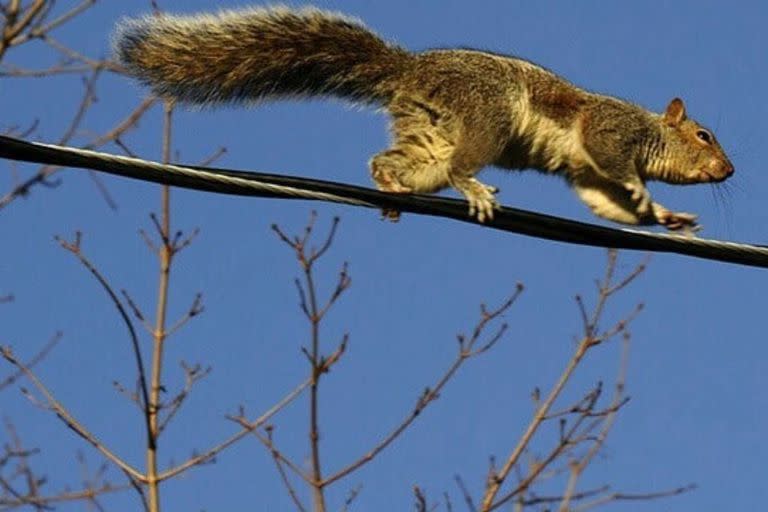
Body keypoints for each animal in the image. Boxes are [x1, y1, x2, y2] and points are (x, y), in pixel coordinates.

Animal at [112, 6, 732, 229]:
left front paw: (667, 216)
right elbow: (616, 170)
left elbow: (607, 202)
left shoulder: (586, 174)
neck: (650, 130)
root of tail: (409, 70)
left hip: (431, 134)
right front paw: (650, 196)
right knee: (460, 165)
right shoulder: (609, 130)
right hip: (484, 118)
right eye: (704, 135)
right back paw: (472, 188)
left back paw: (390, 187)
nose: (729, 171)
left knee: (391, 160)